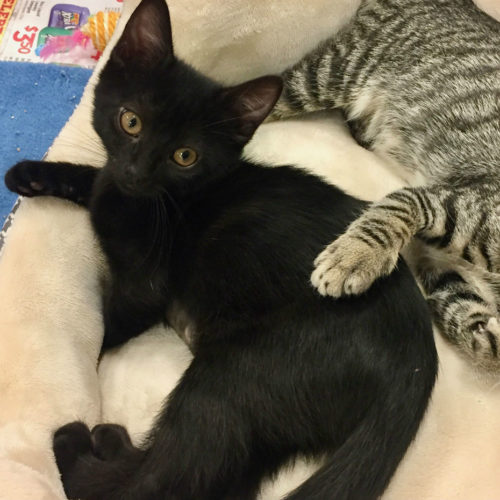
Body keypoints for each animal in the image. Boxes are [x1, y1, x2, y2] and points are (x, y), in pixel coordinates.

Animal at [4, 0, 437, 498]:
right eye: (131, 121)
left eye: (185, 156)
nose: (136, 172)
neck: (151, 201)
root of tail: (416, 368)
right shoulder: (113, 181)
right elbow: (96, 179)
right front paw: (31, 175)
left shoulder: (145, 288)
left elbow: (110, 325)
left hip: (240, 373)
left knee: (170, 473)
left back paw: (84, 444)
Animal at [271, 0, 500, 372]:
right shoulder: (461, 202)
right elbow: (397, 207)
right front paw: (356, 255)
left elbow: (480, 335)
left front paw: (475, 326)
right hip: (334, 72)